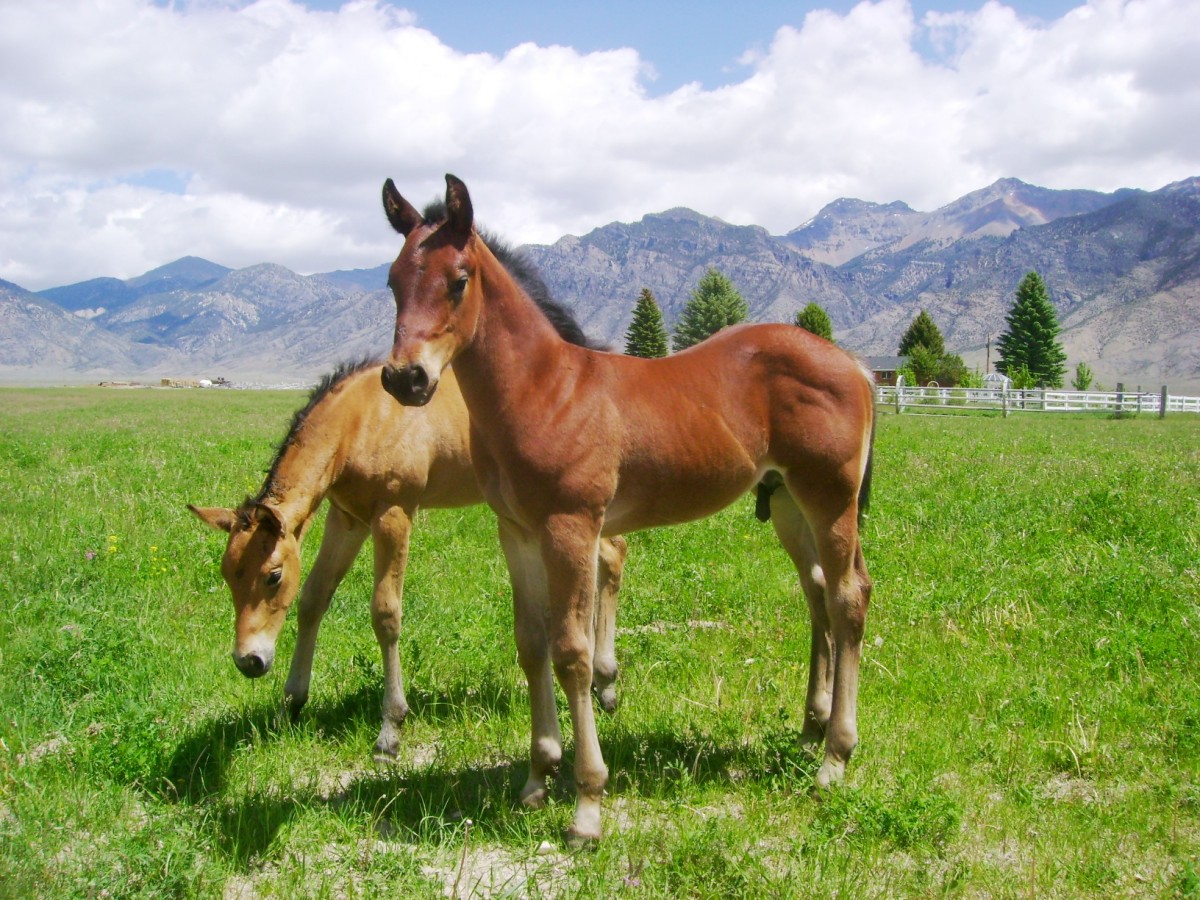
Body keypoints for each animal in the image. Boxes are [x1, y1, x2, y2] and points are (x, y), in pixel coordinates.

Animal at [379, 174, 878, 844]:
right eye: (392, 281)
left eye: (458, 279)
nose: (404, 379)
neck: (544, 391)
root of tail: (855, 364)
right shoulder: (516, 531)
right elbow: (530, 644)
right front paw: (537, 778)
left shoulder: (571, 525)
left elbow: (573, 652)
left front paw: (587, 805)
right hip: (790, 503)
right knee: (820, 593)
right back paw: (809, 732)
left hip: (831, 498)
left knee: (849, 597)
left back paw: (835, 758)